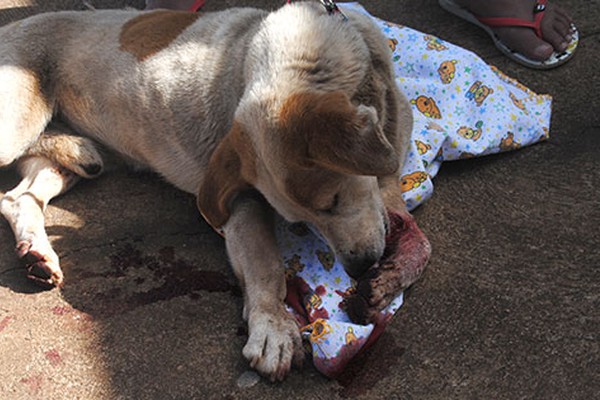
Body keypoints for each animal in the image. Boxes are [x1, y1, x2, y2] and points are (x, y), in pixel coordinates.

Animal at [0, 1, 432, 380]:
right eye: (327, 205)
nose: (362, 267)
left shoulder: (388, 183)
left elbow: (420, 243)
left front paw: (391, 277)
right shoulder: (240, 200)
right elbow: (265, 265)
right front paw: (273, 328)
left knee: (17, 197)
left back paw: (41, 243)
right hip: (14, 127)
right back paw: (73, 150)